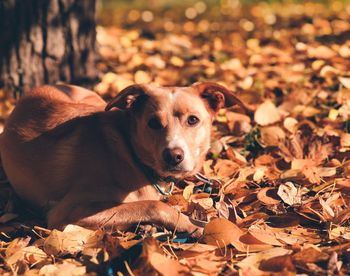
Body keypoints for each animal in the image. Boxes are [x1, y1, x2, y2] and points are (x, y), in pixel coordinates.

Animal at [0, 81, 246, 235]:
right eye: (153, 123)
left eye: (193, 120)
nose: (173, 156)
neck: (130, 153)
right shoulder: (66, 211)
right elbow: (153, 206)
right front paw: (192, 225)